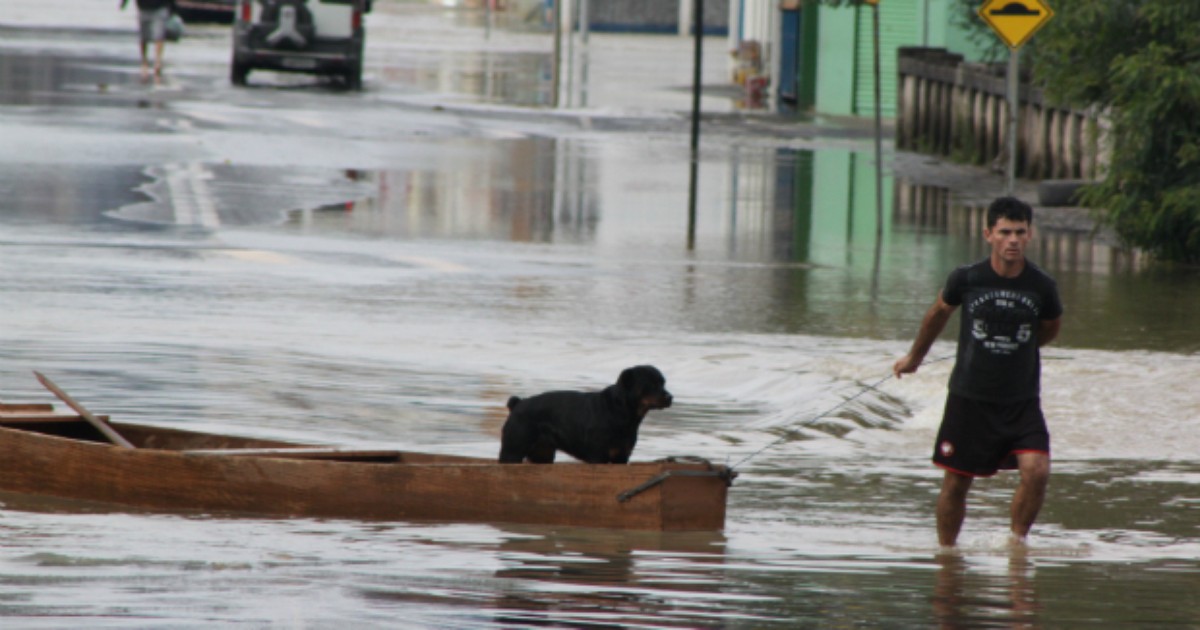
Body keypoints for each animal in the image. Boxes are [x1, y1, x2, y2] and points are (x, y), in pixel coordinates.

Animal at [492, 364, 672, 463]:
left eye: (663, 383)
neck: (620, 412)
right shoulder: (598, 456)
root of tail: (517, 404)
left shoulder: (621, 457)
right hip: (512, 451)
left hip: (542, 454)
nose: (669, 397)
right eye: (649, 384)